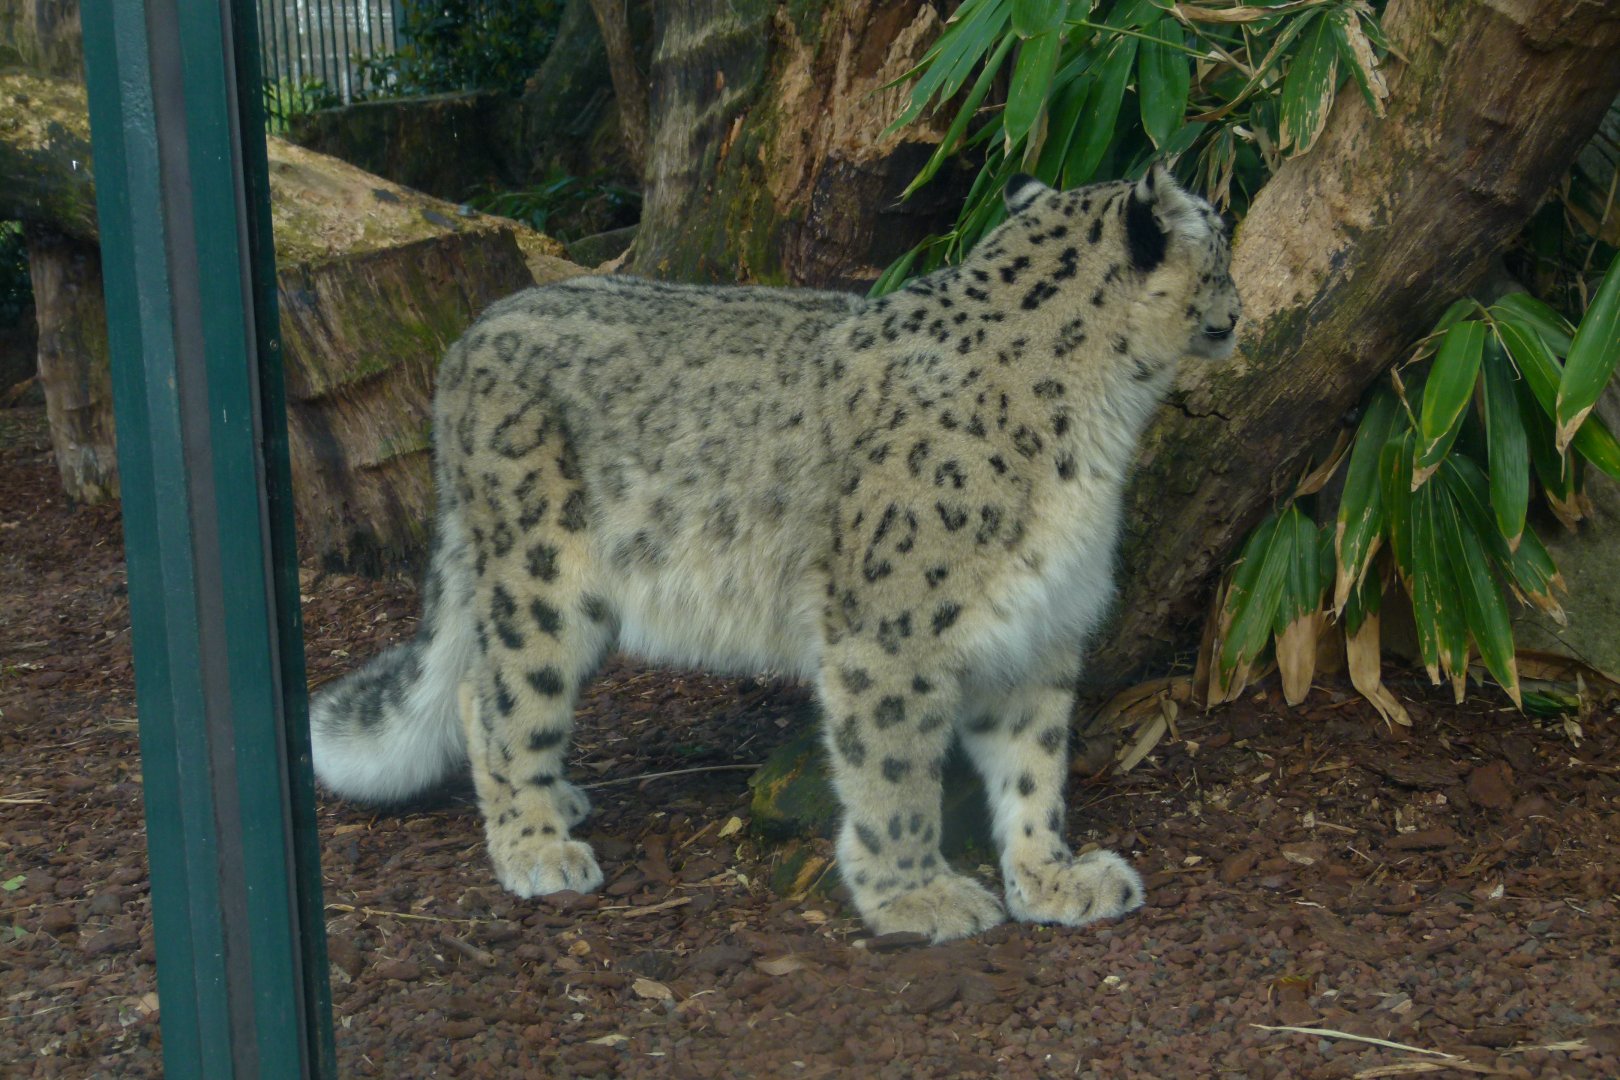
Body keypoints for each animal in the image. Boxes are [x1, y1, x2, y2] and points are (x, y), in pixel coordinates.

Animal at [309, 164, 1241, 942]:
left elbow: (1033, 767)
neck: (1100, 431)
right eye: (1222, 239)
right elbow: (895, 772)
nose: (1238, 309)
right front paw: (916, 895)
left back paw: (559, 804)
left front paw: (1053, 879)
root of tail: (472, 334)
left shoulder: (1040, 627)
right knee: (500, 693)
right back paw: (536, 845)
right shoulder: (892, 633)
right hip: (543, 573)